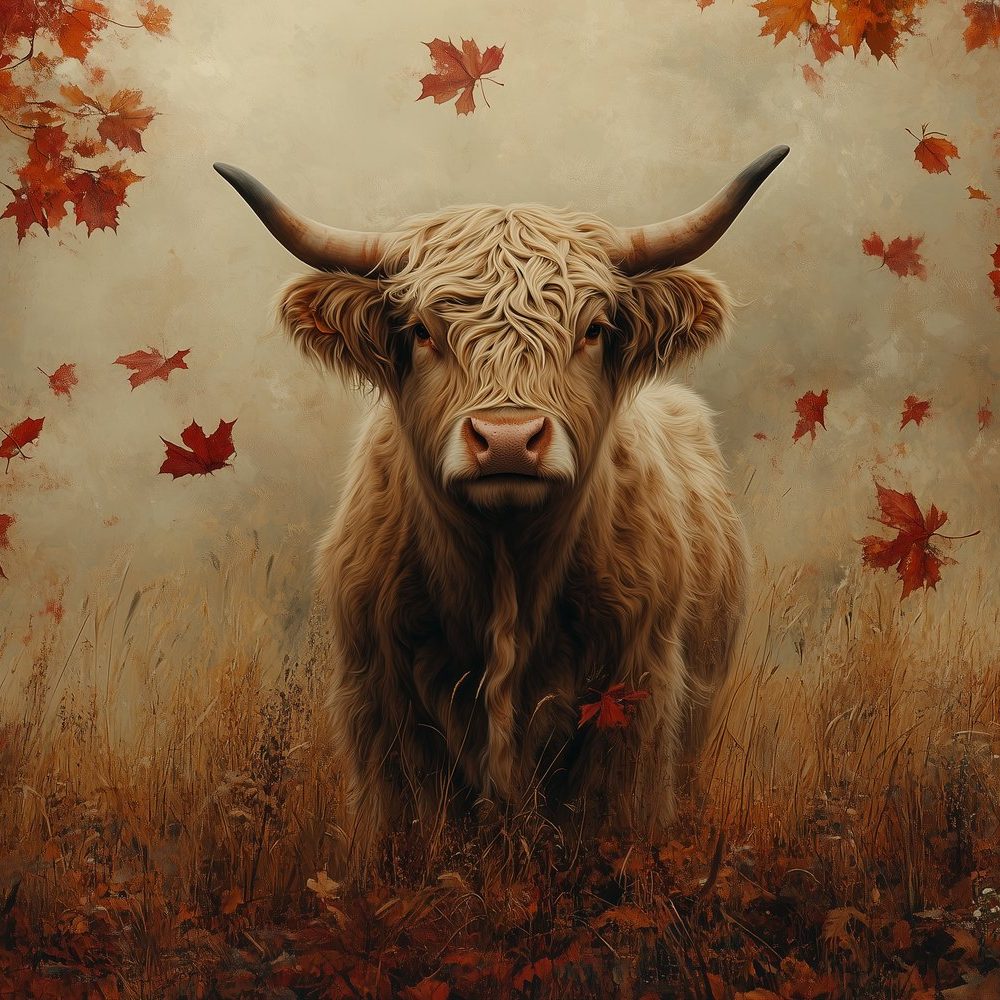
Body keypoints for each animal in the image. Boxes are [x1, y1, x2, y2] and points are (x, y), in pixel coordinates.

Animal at [215, 146, 788, 855]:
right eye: (421, 331)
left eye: (594, 328)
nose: (509, 440)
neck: (506, 579)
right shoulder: (381, 706)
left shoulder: (636, 702)